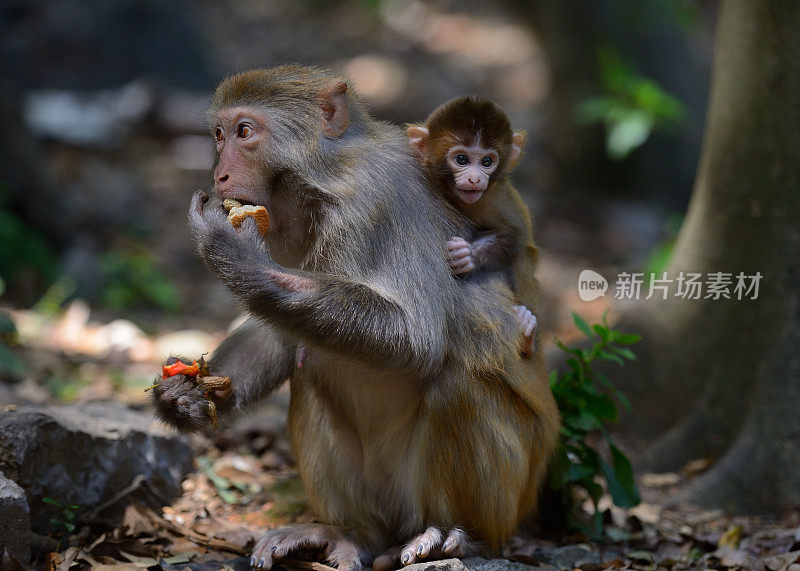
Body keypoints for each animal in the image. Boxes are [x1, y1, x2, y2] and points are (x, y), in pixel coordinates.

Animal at [410, 98, 540, 358]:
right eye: (462, 159)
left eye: (487, 162)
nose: (474, 179)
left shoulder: (493, 198)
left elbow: (516, 237)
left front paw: (468, 255)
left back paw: (527, 337)